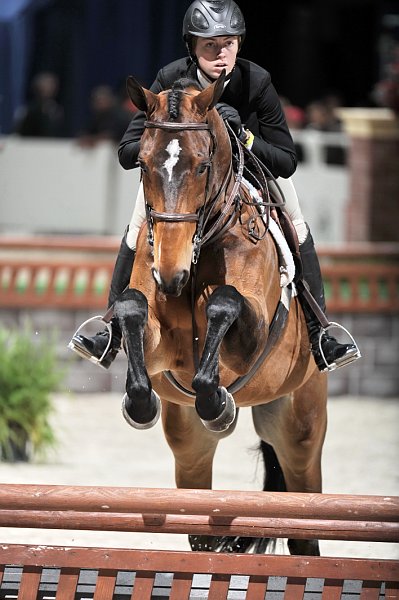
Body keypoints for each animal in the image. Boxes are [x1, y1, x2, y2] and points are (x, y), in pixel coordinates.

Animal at [114, 72, 330, 556]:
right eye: (142, 164)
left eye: (201, 166)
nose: (169, 274)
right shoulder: (161, 350)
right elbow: (131, 308)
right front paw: (140, 404)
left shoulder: (253, 341)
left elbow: (225, 302)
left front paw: (217, 402)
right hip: (190, 443)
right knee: (201, 531)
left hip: (300, 427)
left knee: (305, 529)